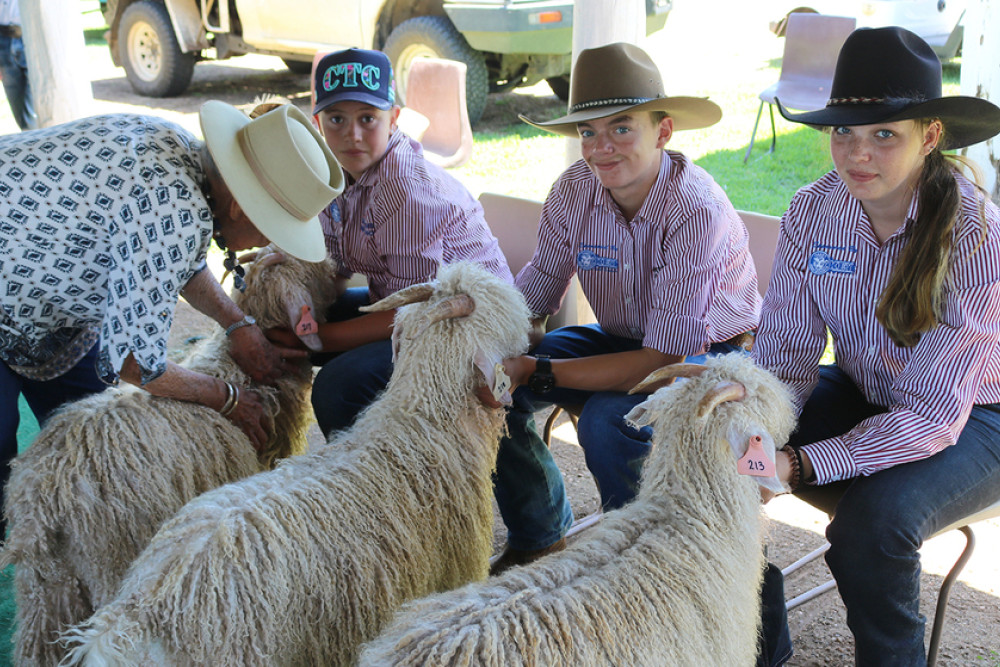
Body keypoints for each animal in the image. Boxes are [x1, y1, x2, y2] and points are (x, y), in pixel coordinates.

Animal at [0, 247, 338, 667]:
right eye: (306, 267)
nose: (336, 266)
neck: (237, 370)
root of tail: (41, 499)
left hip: (46, 591)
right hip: (110, 561)